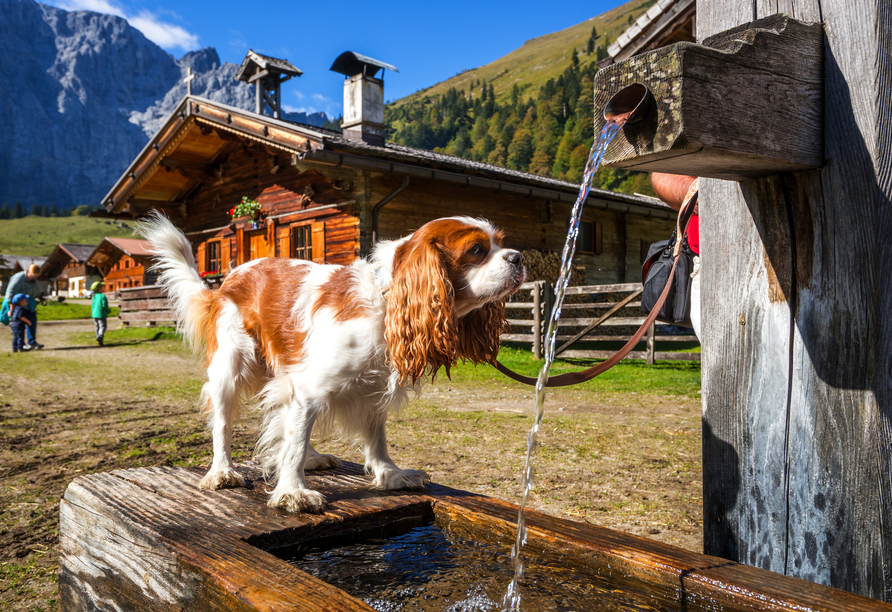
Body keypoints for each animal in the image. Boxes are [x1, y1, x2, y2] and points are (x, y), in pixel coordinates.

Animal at [140, 215, 528, 512]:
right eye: (477, 250)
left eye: (500, 242)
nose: (519, 257)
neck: (387, 300)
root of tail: (225, 282)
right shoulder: (310, 388)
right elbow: (294, 443)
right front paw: (292, 492)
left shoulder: (370, 389)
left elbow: (375, 438)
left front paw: (390, 475)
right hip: (229, 367)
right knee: (223, 424)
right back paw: (222, 472)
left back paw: (311, 458)